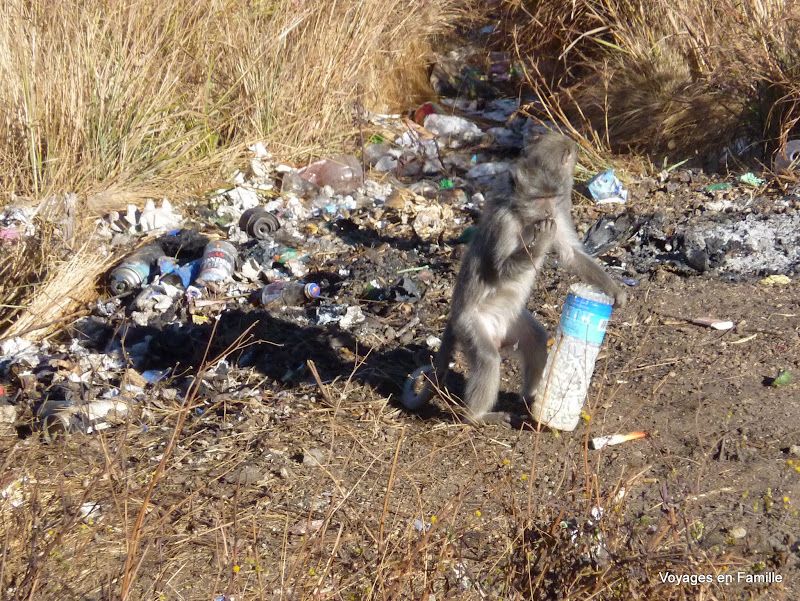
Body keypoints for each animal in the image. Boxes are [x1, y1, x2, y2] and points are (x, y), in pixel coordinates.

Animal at [404, 134, 628, 424]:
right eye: (539, 196)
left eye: (550, 196)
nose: (547, 211)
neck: (525, 218)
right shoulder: (504, 222)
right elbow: (500, 270)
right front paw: (541, 240)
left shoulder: (559, 213)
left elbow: (571, 255)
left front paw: (614, 291)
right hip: (470, 325)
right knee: (488, 359)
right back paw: (477, 417)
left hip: (511, 321)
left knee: (536, 339)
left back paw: (531, 399)